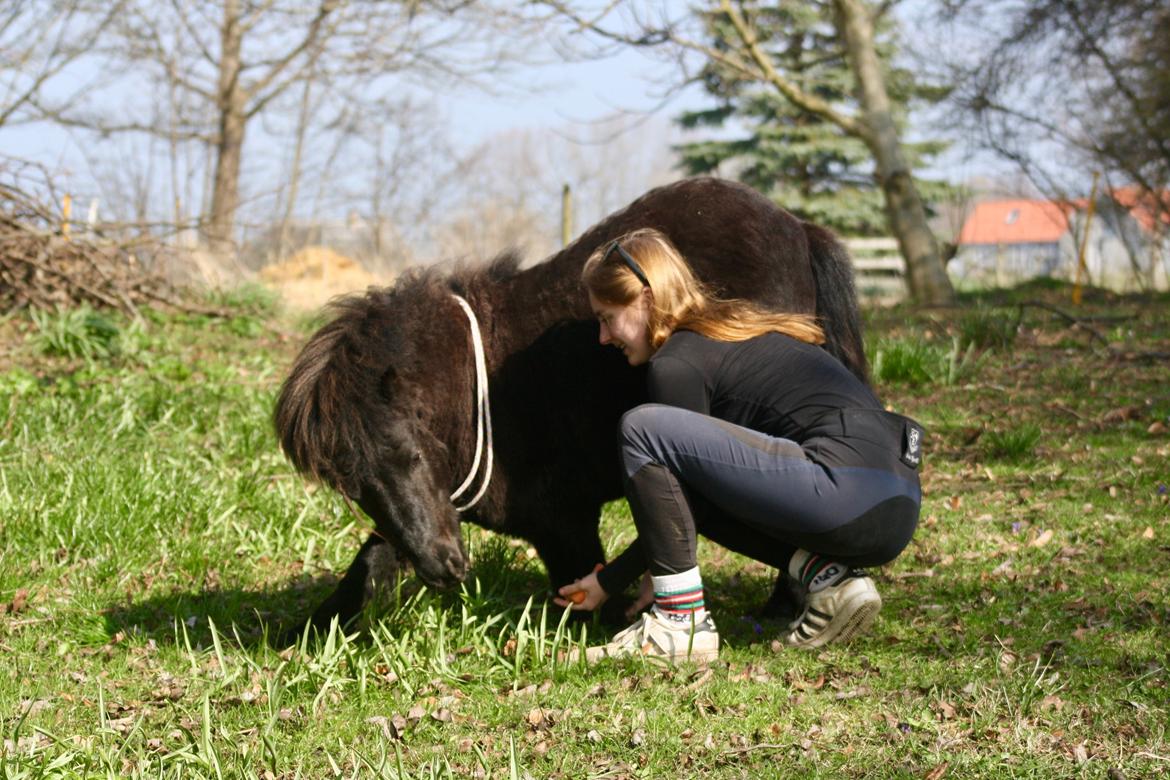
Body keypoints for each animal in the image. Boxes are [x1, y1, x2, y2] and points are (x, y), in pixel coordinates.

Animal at [276, 176, 870, 626]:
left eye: (412, 455)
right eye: (356, 488)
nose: (446, 569)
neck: (477, 390)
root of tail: (797, 227)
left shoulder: (563, 521)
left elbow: (588, 593)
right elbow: (368, 563)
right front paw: (304, 634)